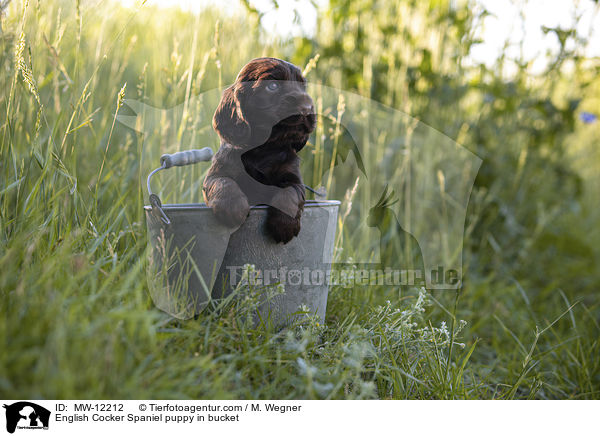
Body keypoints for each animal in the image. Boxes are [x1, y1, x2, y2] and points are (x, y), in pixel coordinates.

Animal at [204, 57, 316, 245]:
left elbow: (290, 191)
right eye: (272, 86)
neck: (264, 148)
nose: (307, 108)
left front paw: (284, 224)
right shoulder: (217, 172)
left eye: (303, 86)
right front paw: (233, 208)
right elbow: (223, 182)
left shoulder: (294, 178)